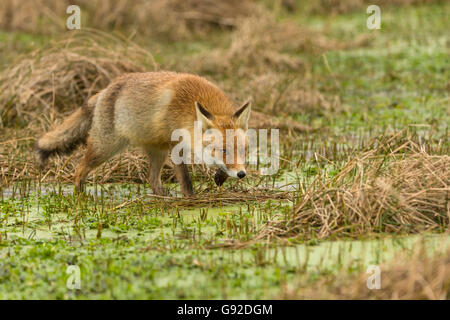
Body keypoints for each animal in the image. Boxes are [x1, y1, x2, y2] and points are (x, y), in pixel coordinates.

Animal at [34, 72, 253, 196]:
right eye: (223, 150)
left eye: (243, 151)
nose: (241, 174)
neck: (188, 107)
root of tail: (106, 89)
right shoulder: (176, 146)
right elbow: (185, 180)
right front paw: (191, 198)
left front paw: (221, 176)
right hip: (105, 148)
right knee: (80, 169)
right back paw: (79, 197)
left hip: (158, 153)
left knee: (152, 180)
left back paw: (162, 196)